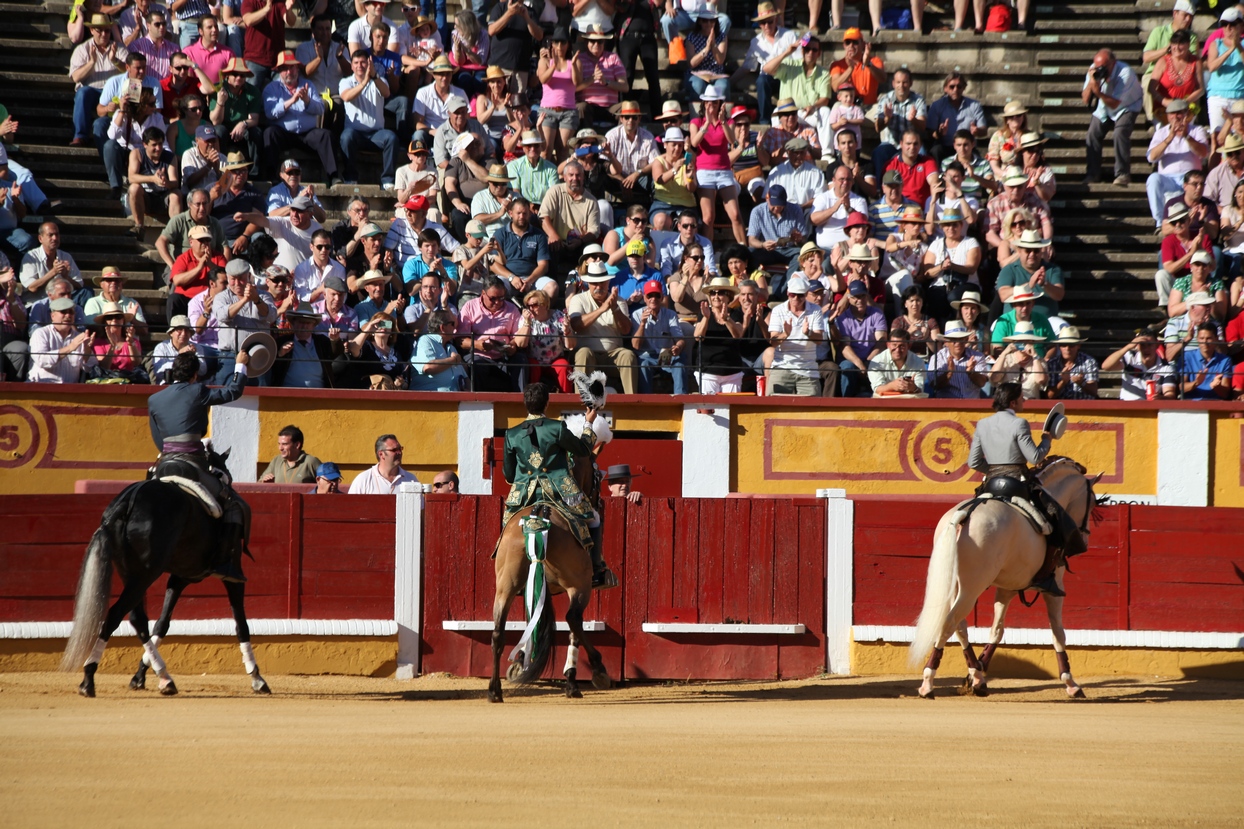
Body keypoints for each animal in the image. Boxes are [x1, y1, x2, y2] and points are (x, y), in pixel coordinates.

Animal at [58, 448, 269, 692]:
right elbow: (241, 624)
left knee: (138, 618)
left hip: (132, 573)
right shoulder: (232, 577)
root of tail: (127, 501)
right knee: (115, 615)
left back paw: (164, 677)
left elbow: (162, 623)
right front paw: (257, 677)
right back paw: (89, 678)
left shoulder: (179, 578)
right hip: (147, 573)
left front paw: (140, 676)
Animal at [485, 448, 612, 702]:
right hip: (580, 586)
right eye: (597, 477)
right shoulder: (576, 589)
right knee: (573, 619)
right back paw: (598, 670)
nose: (599, 501)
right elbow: (573, 629)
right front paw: (572, 683)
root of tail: (536, 521)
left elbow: (531, 623)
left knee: (497, 632)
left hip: (505, 586)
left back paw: (495, 690)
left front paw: (520, 664)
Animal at [910, 458, 1104, 697]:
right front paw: (1071, 684)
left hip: (954, 585)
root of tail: (965, 515)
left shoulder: (1007, 588)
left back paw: (975, 676)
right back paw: (928, 682)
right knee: (949, 623)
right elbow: (1058, 632)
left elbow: (997, 630)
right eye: (1092, 502)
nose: (1085, 539)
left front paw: (977, 676)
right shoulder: (1055, 588)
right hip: (971, 587)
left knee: (960, 625)